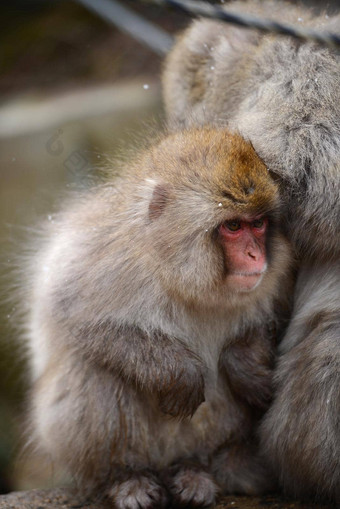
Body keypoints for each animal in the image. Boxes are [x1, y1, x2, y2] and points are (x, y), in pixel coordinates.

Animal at [25, 128, 292, 508]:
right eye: (233, 226)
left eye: (259, 224)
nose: (257, 255)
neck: (177, 272)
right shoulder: (100, 255)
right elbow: (74, 316)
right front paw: (179, 373)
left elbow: (269, 318)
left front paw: (245, 365)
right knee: (92, 368)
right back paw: (124, 477)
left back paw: (198, 470)